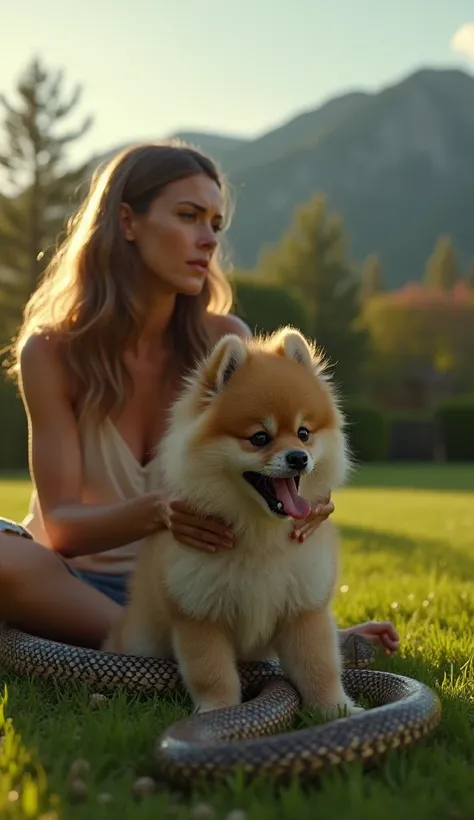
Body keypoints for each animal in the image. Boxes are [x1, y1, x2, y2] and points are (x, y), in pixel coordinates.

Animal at [104, 326, 362, 716]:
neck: (260, 534)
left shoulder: (304, 608)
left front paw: (337, 711)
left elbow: (319, 667)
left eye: (304, 433)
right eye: (259, 438)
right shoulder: (198, 614)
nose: (299, 458)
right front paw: (219, 714)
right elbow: (213, 674)